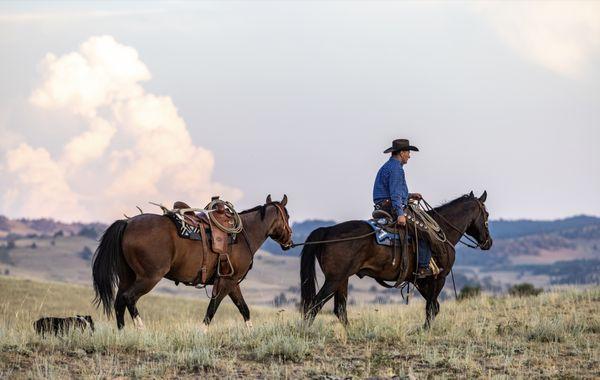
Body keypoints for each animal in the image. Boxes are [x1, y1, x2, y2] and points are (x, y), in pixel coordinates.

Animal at [91, 196, 292, 330]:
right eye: (288, 216)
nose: (289, 241)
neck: (243, 235)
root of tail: (127, 223)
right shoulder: (226, 282)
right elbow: (212, 310)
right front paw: (202, 333)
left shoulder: (232, 283)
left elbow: (244, 310)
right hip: (149, 277)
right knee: (128, 298)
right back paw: (141, 328)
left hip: (127, 276)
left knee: (119, 303)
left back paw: (123, 333)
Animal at [300, 191, 492, 328]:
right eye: (487, 214)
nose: (488, 242)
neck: (443, 231)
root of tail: (328, 230)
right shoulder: (438, 278)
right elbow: (432, 308)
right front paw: (425, 331)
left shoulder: (420, 281)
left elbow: (434, 306)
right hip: (334, 279)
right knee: (314, 305)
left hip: (342, 279)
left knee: (340, 309)